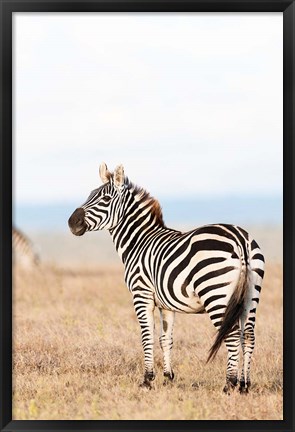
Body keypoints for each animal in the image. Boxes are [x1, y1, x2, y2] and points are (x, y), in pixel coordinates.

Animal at [69, 164, 266, 394]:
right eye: (89, 195)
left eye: (106, 199)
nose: (71, 222)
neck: (138, 242)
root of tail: (240, 239)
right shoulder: (166, 304)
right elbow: (166, 339)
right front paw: (168, 377)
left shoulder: (141, 295)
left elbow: (147, 337)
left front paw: (147, 380)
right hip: (250, 296)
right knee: (249, 336)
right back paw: (245, 385)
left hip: (216, 294)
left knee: (233, 335)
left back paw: (229, 384)